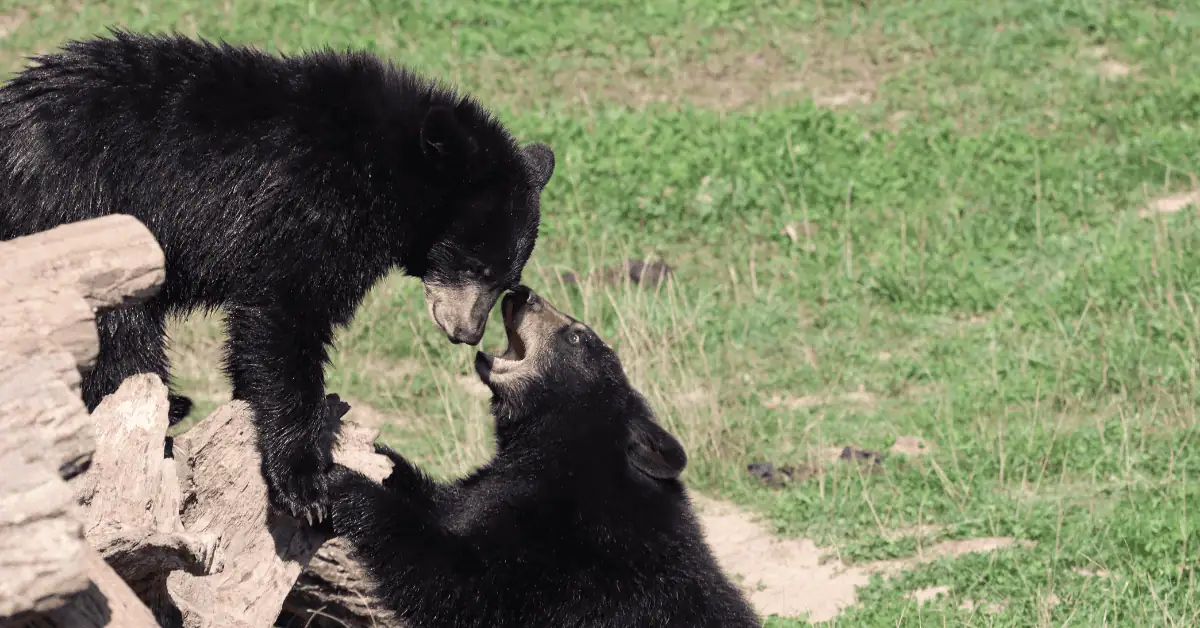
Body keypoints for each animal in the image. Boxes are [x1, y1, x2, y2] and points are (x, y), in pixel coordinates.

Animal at [0, 31, 555, 523]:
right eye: (477, 266)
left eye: (506, 280)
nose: (468, 333)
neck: (379, 167)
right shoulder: (307, 209)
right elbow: (284, 317)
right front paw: (303, 483)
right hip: (79, 219)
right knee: (121, 336)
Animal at [326, 286, 762, 627]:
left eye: (578, 336)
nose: (521, 292)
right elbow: (451, 502)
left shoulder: (562, 559)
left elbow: (456, 580)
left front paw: (347, 485)